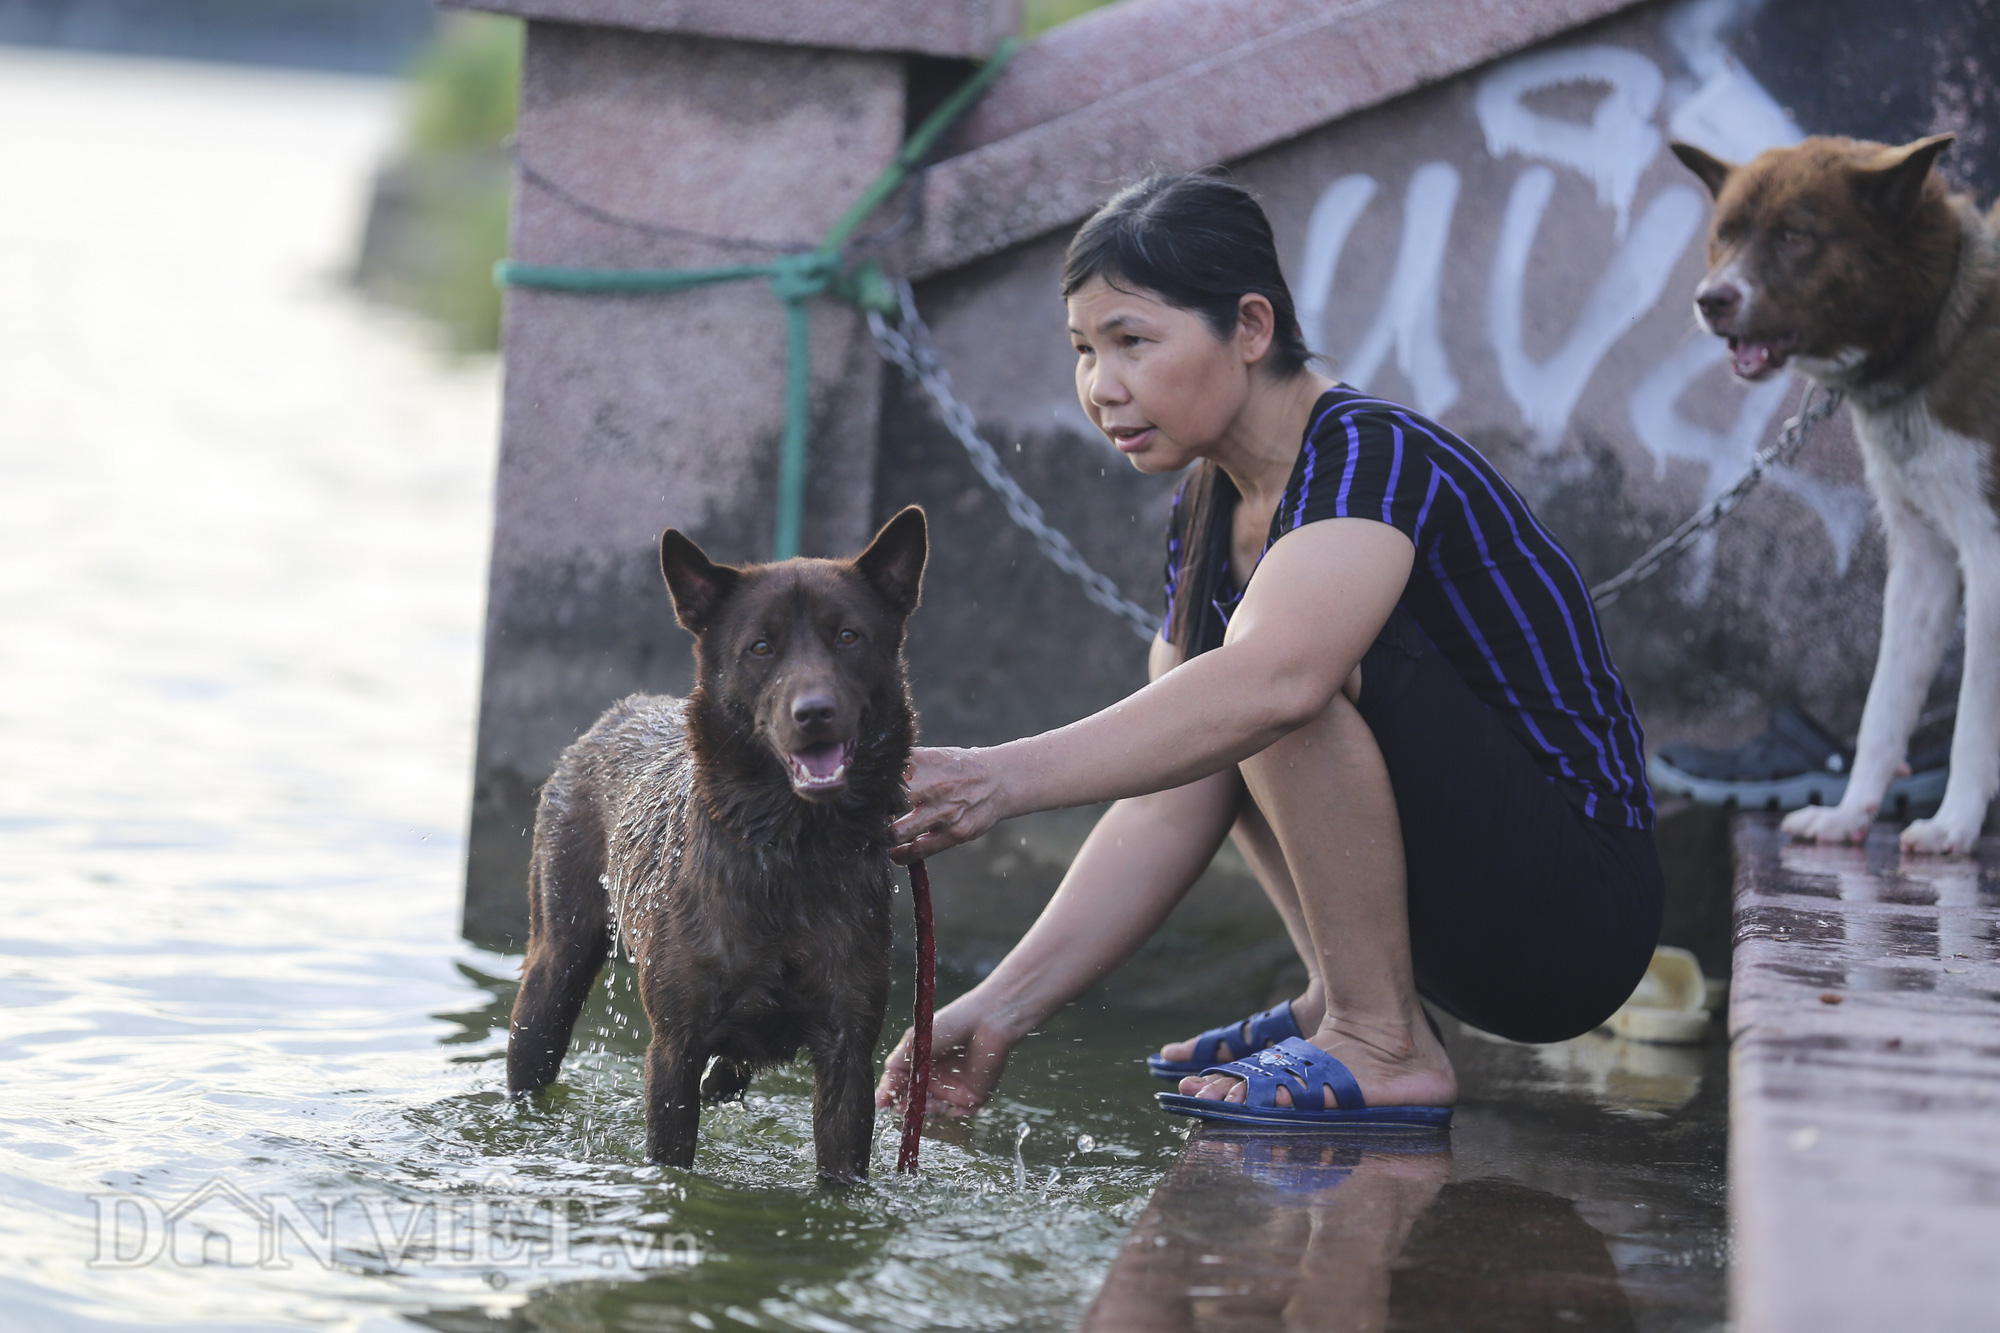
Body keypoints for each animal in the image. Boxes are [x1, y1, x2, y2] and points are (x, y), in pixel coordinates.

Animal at [508, 506, 928, 1176]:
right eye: (760, 646)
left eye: (848, 636)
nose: (815, 711)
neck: (790, 849)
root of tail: (620, 711)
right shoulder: (674, 1045)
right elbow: (672, 1155)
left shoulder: (848, 1048)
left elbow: (841, 1168)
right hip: (556, 963)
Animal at [1672, 135, 2000, 852]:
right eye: (1724, 234)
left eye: (1796, 235)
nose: (1710, 300)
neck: (1941, 320)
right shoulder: (1922, 560)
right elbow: (1884, 703)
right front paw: (1850, 814)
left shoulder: (1992, 561)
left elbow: (1973, 716)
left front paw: (1953, 824)